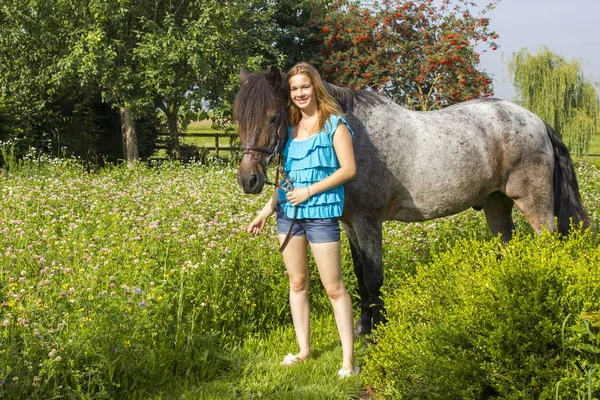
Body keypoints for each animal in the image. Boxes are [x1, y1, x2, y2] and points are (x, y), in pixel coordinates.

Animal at [232, 66, 588, 334]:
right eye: (238, 118)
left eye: (273, 117)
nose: (248, 179)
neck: (353, 139)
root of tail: (538, 121)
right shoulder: (350, 225)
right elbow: (360, 274)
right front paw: (363, 326)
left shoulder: (368, 222)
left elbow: (373, 276)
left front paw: (375, 332)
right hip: (497, 205)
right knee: (506, 244)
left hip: (535, 204)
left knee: (546, 243)